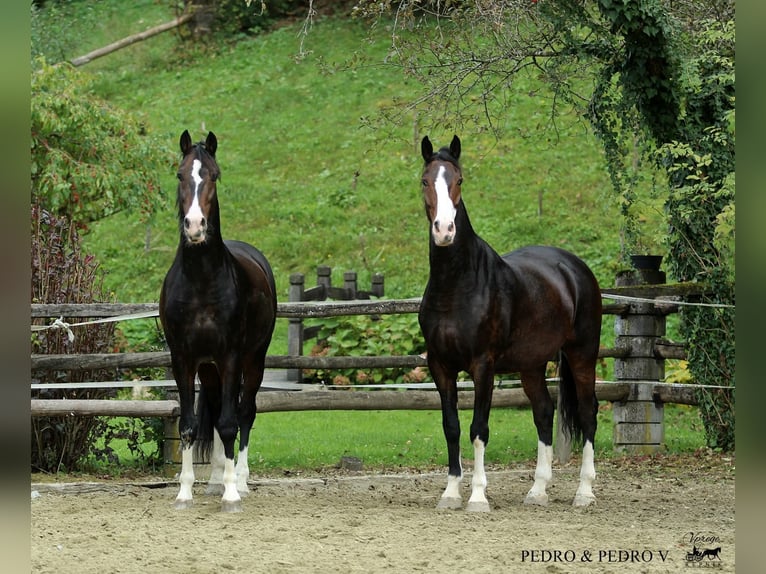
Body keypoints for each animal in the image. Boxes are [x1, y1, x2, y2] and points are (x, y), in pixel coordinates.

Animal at [160, 130, 277, 512]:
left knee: (245, 413)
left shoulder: (230, 358)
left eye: (214, 175)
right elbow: (189, 425)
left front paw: (231, 495)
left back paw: (239, 480)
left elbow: (229, 423)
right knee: (212, 408)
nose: (195, 226)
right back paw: (213, 480)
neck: (201, 282)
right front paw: (185, 493)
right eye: (180, 175)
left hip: (253, 361)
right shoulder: (183, 359)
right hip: (209, 369)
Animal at [418, 135, 602, 512]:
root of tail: (574, 267)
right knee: (544, 412)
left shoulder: (483, 366)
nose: (444, 230)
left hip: (582, 355)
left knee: (588, 413)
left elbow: (478, 429)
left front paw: (477, 497)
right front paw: (450, 493)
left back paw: (584, 492)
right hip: (531, 365)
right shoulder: (440, 366)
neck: (457, 286)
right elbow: (451, 426)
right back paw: (537, 490)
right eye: (425, 181)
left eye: (459, 180)